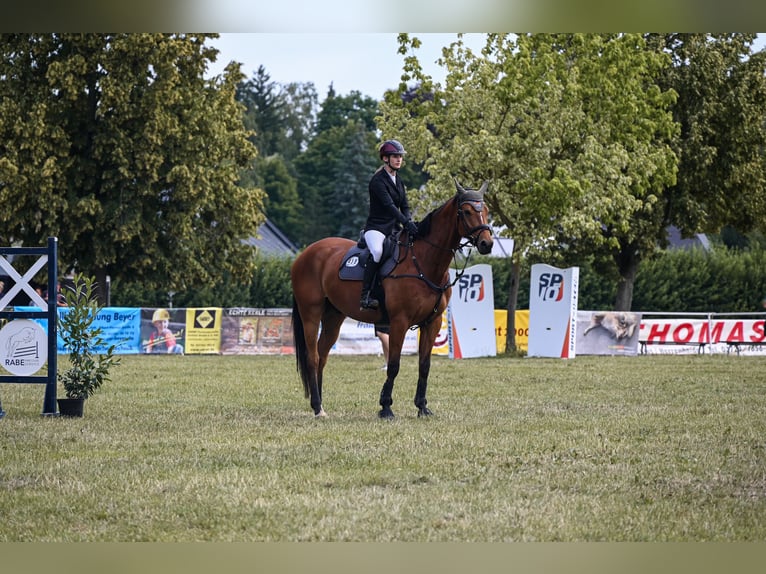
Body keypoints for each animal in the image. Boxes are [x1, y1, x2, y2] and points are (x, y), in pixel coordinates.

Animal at [290, 179, 494, 419]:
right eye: (467, 211)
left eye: (486, 210)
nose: (487, 244)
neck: (423, 261)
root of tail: (305, 254)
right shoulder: (399, 322)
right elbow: (394, 364)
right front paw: (386, 407)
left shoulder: (432, 323)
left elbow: (424, 365)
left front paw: (422, 407)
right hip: (311, 314)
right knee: (312, 357)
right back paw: (317, 407)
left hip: (333, 316)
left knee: (322, 355)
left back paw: (320, 404)